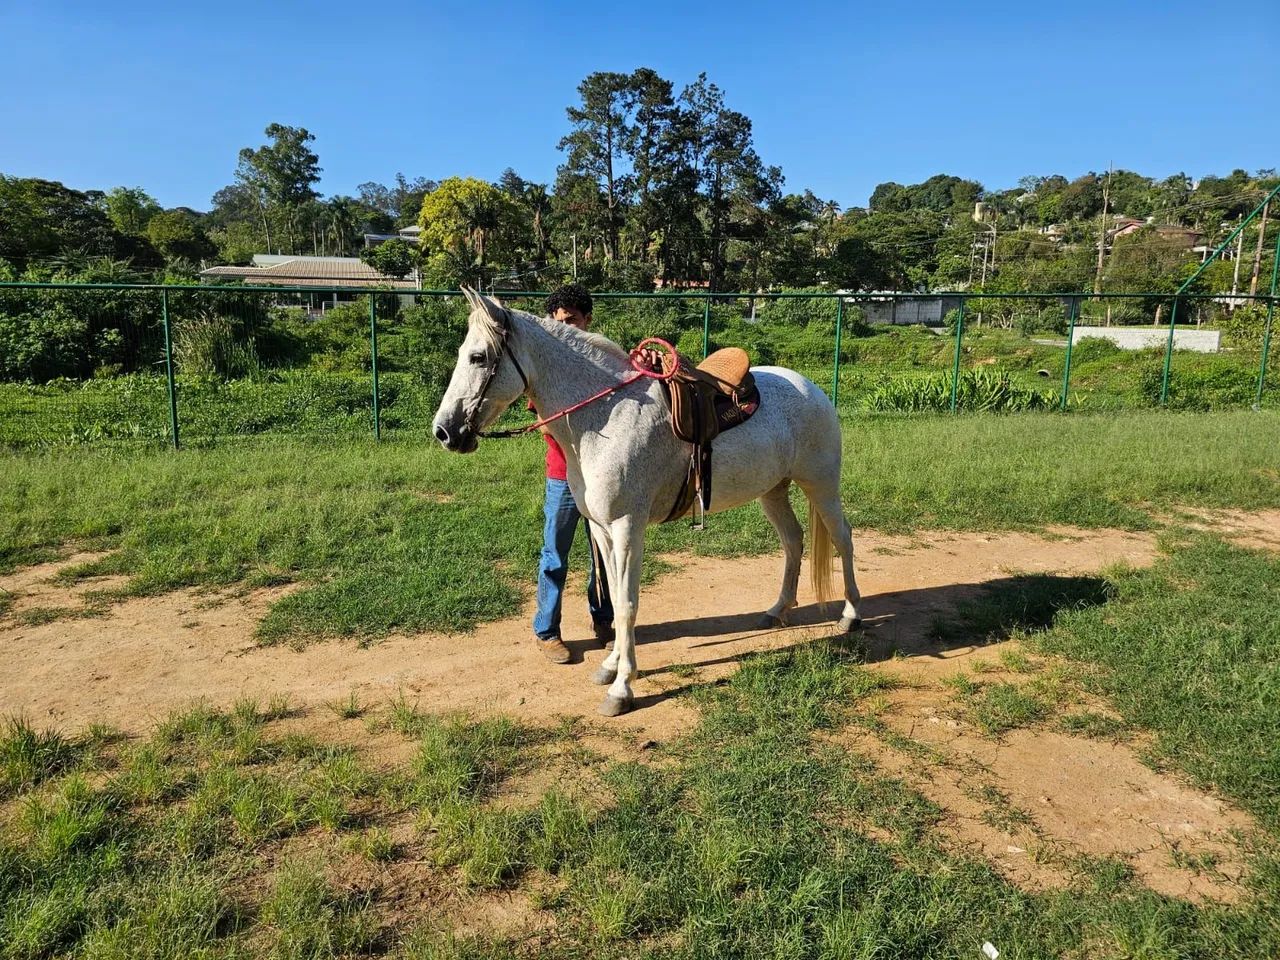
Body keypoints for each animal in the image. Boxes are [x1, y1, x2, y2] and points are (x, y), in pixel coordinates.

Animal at [431, 288, 862, 717]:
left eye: (478, 357)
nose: (444, 432)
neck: (605, 417)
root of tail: (812, 389)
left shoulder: (627, 527)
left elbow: (626, 604)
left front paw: (622, 688)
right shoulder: (602, 530)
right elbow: (614, 598)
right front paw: (611, 666)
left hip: (820, 485)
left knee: (843, 539)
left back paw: (850, 616)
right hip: (773, 491)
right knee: (793, 541)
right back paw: (777, 611)